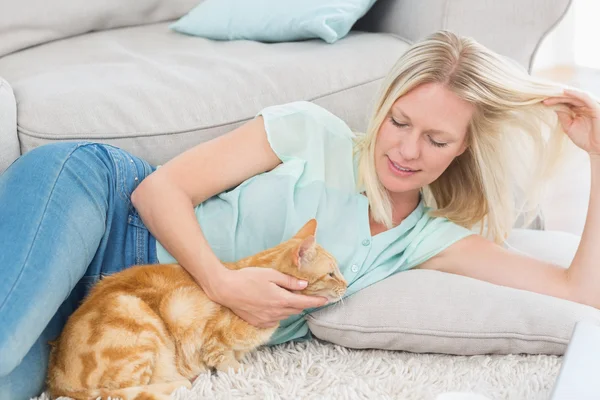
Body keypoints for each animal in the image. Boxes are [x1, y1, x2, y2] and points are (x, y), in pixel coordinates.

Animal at [47, 220, 346, 398]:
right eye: (332, 274)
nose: (345, 284)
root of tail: (56, 379)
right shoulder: (208, 336)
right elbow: (229, 363)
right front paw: (243, 373)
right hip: (137, 316)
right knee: (122, 392)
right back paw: (181, 382)